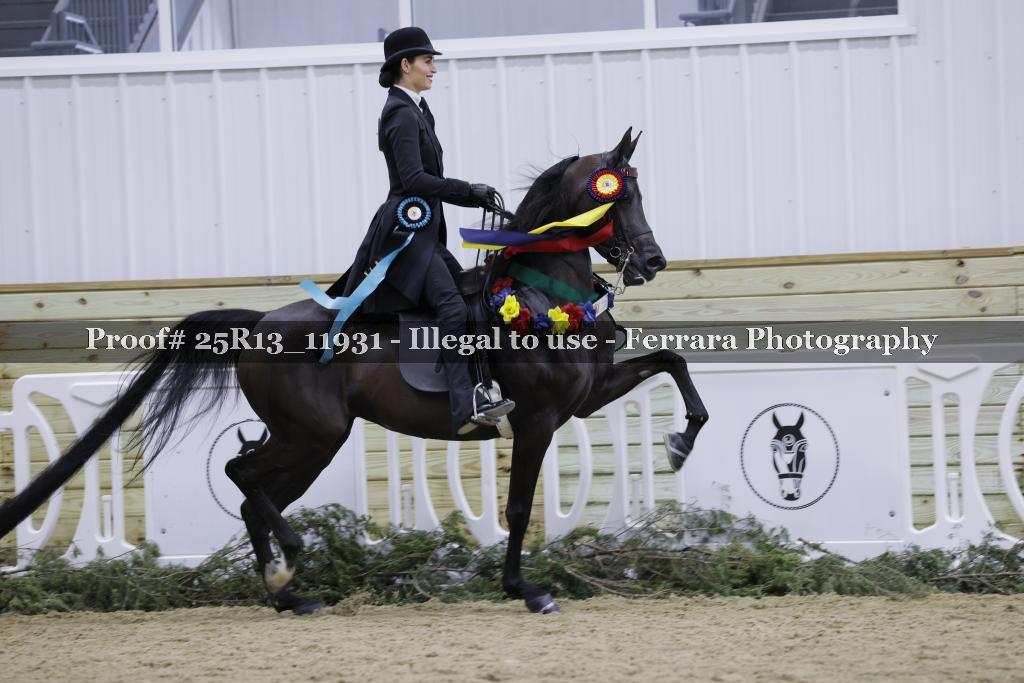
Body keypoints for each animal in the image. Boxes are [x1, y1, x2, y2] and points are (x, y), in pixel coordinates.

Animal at [0, 127, 709, 615]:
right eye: (616, 195)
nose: (653, 262)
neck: (542, 292)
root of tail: (259, 321)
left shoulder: (583, 401)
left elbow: (673, 364)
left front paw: (678, 443)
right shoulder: (536, 419)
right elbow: (517, 505)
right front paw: (524, 590)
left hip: (307, 441)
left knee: (253, 494)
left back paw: (287, 593)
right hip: (315, 434)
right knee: (241, 476)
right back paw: (290, 563)